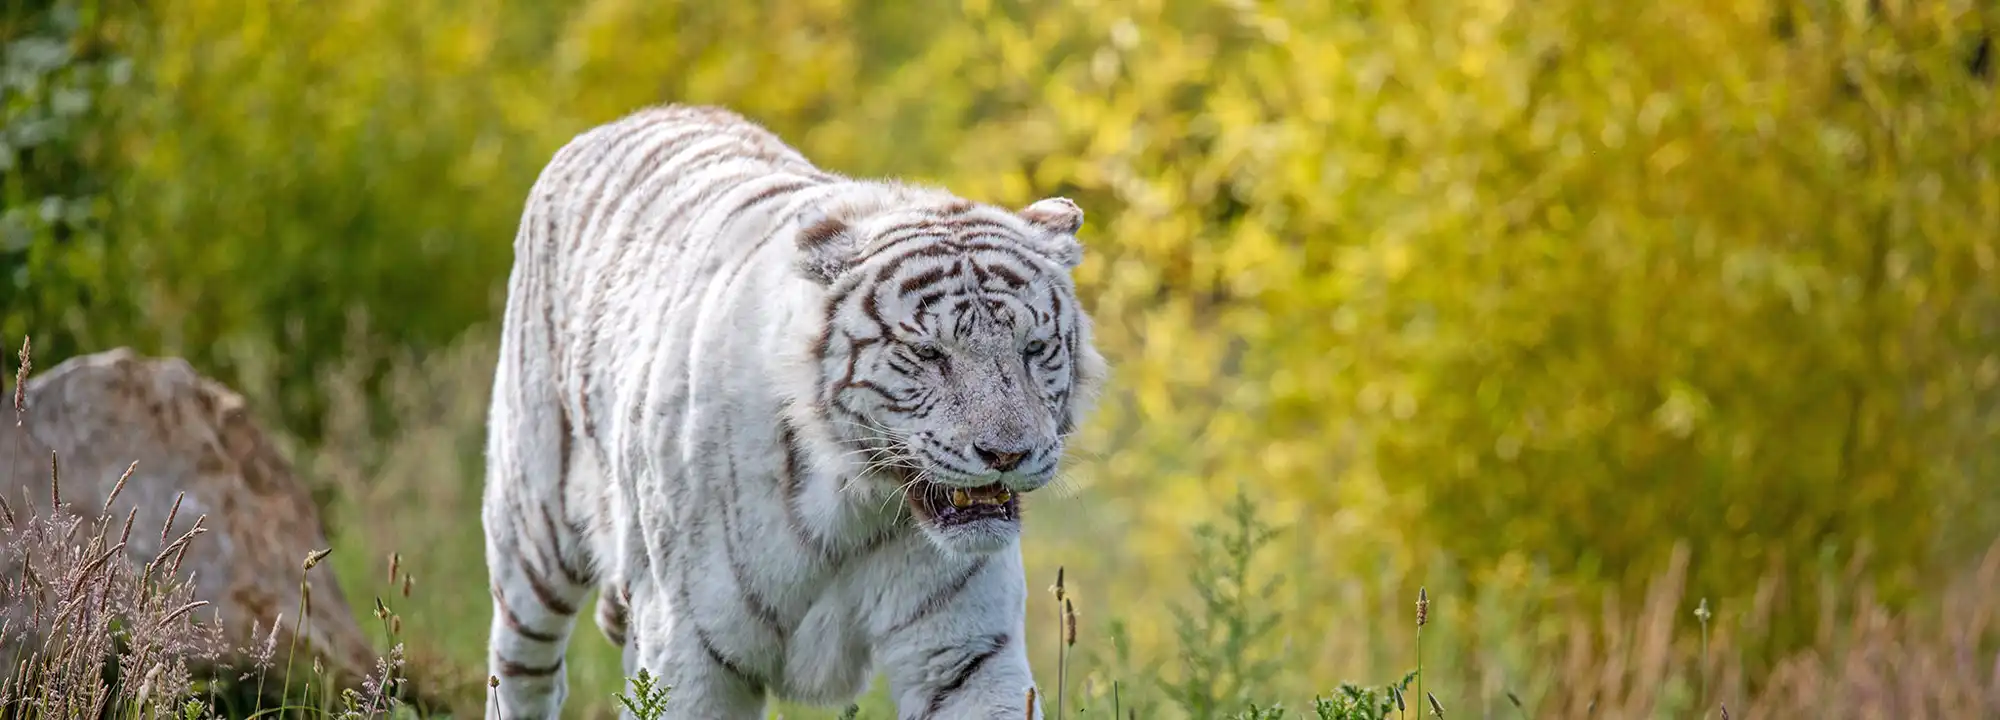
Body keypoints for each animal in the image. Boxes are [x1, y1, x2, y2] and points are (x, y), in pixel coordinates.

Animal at [480, 104, 1107, 720]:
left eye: (1034, 348)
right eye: (928, 353)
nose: (1007, 454)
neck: (858, 504)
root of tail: (631, 117)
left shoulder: (965, 653)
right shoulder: (690, 652)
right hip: (532, 539)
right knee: (520, 673)